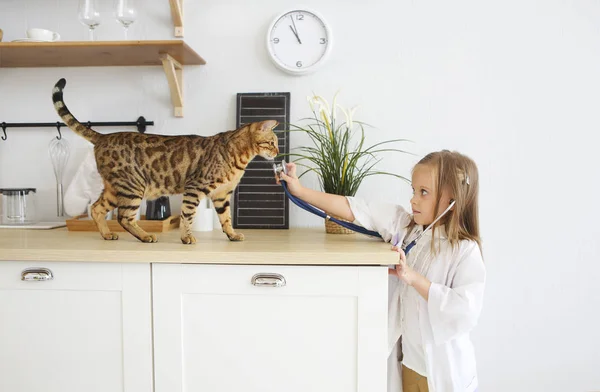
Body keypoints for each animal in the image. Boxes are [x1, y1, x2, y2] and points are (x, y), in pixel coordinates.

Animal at [51, 78, 278, 243]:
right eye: (272, 142)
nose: (277, 152)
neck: (239, 156)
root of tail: (103, 137)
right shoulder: (195, 187)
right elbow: (188, 215)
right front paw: (186, 237)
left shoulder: (222, 195)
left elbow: (226, 218)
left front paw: (232, 235)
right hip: (133, 185)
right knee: (123, 216)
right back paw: (145, 236)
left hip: (115, 189)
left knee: (96, 208)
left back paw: (107, 234)